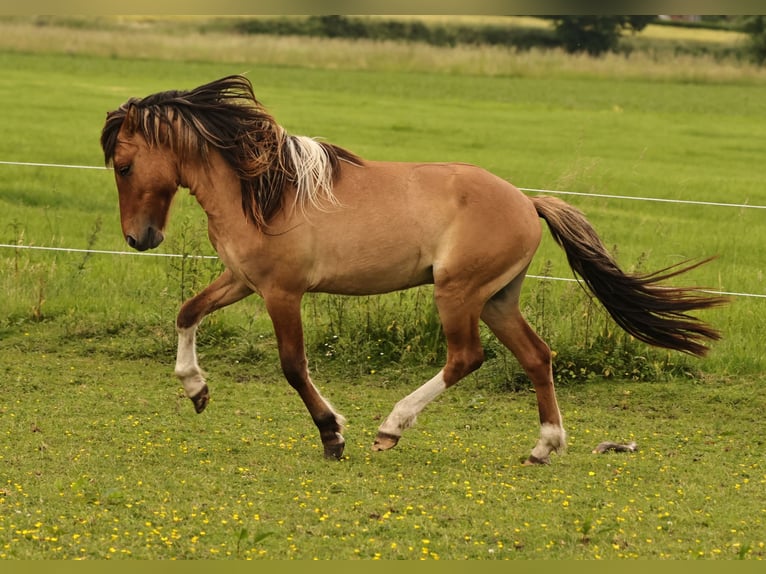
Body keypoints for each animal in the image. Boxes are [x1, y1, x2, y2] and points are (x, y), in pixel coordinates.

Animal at [100, 74, 727, 465]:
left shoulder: (281, 291)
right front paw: (196, 388)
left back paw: (391, 428)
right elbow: (187, 312)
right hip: (497, 298)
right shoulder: (241, 281)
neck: (261, 191)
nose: (139, 239)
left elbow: (293, 366)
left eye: (124, 165)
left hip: (458, 292)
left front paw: (333, 435)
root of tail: (528, 202)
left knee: (466, 358)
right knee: (536, 356)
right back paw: (543, 447)